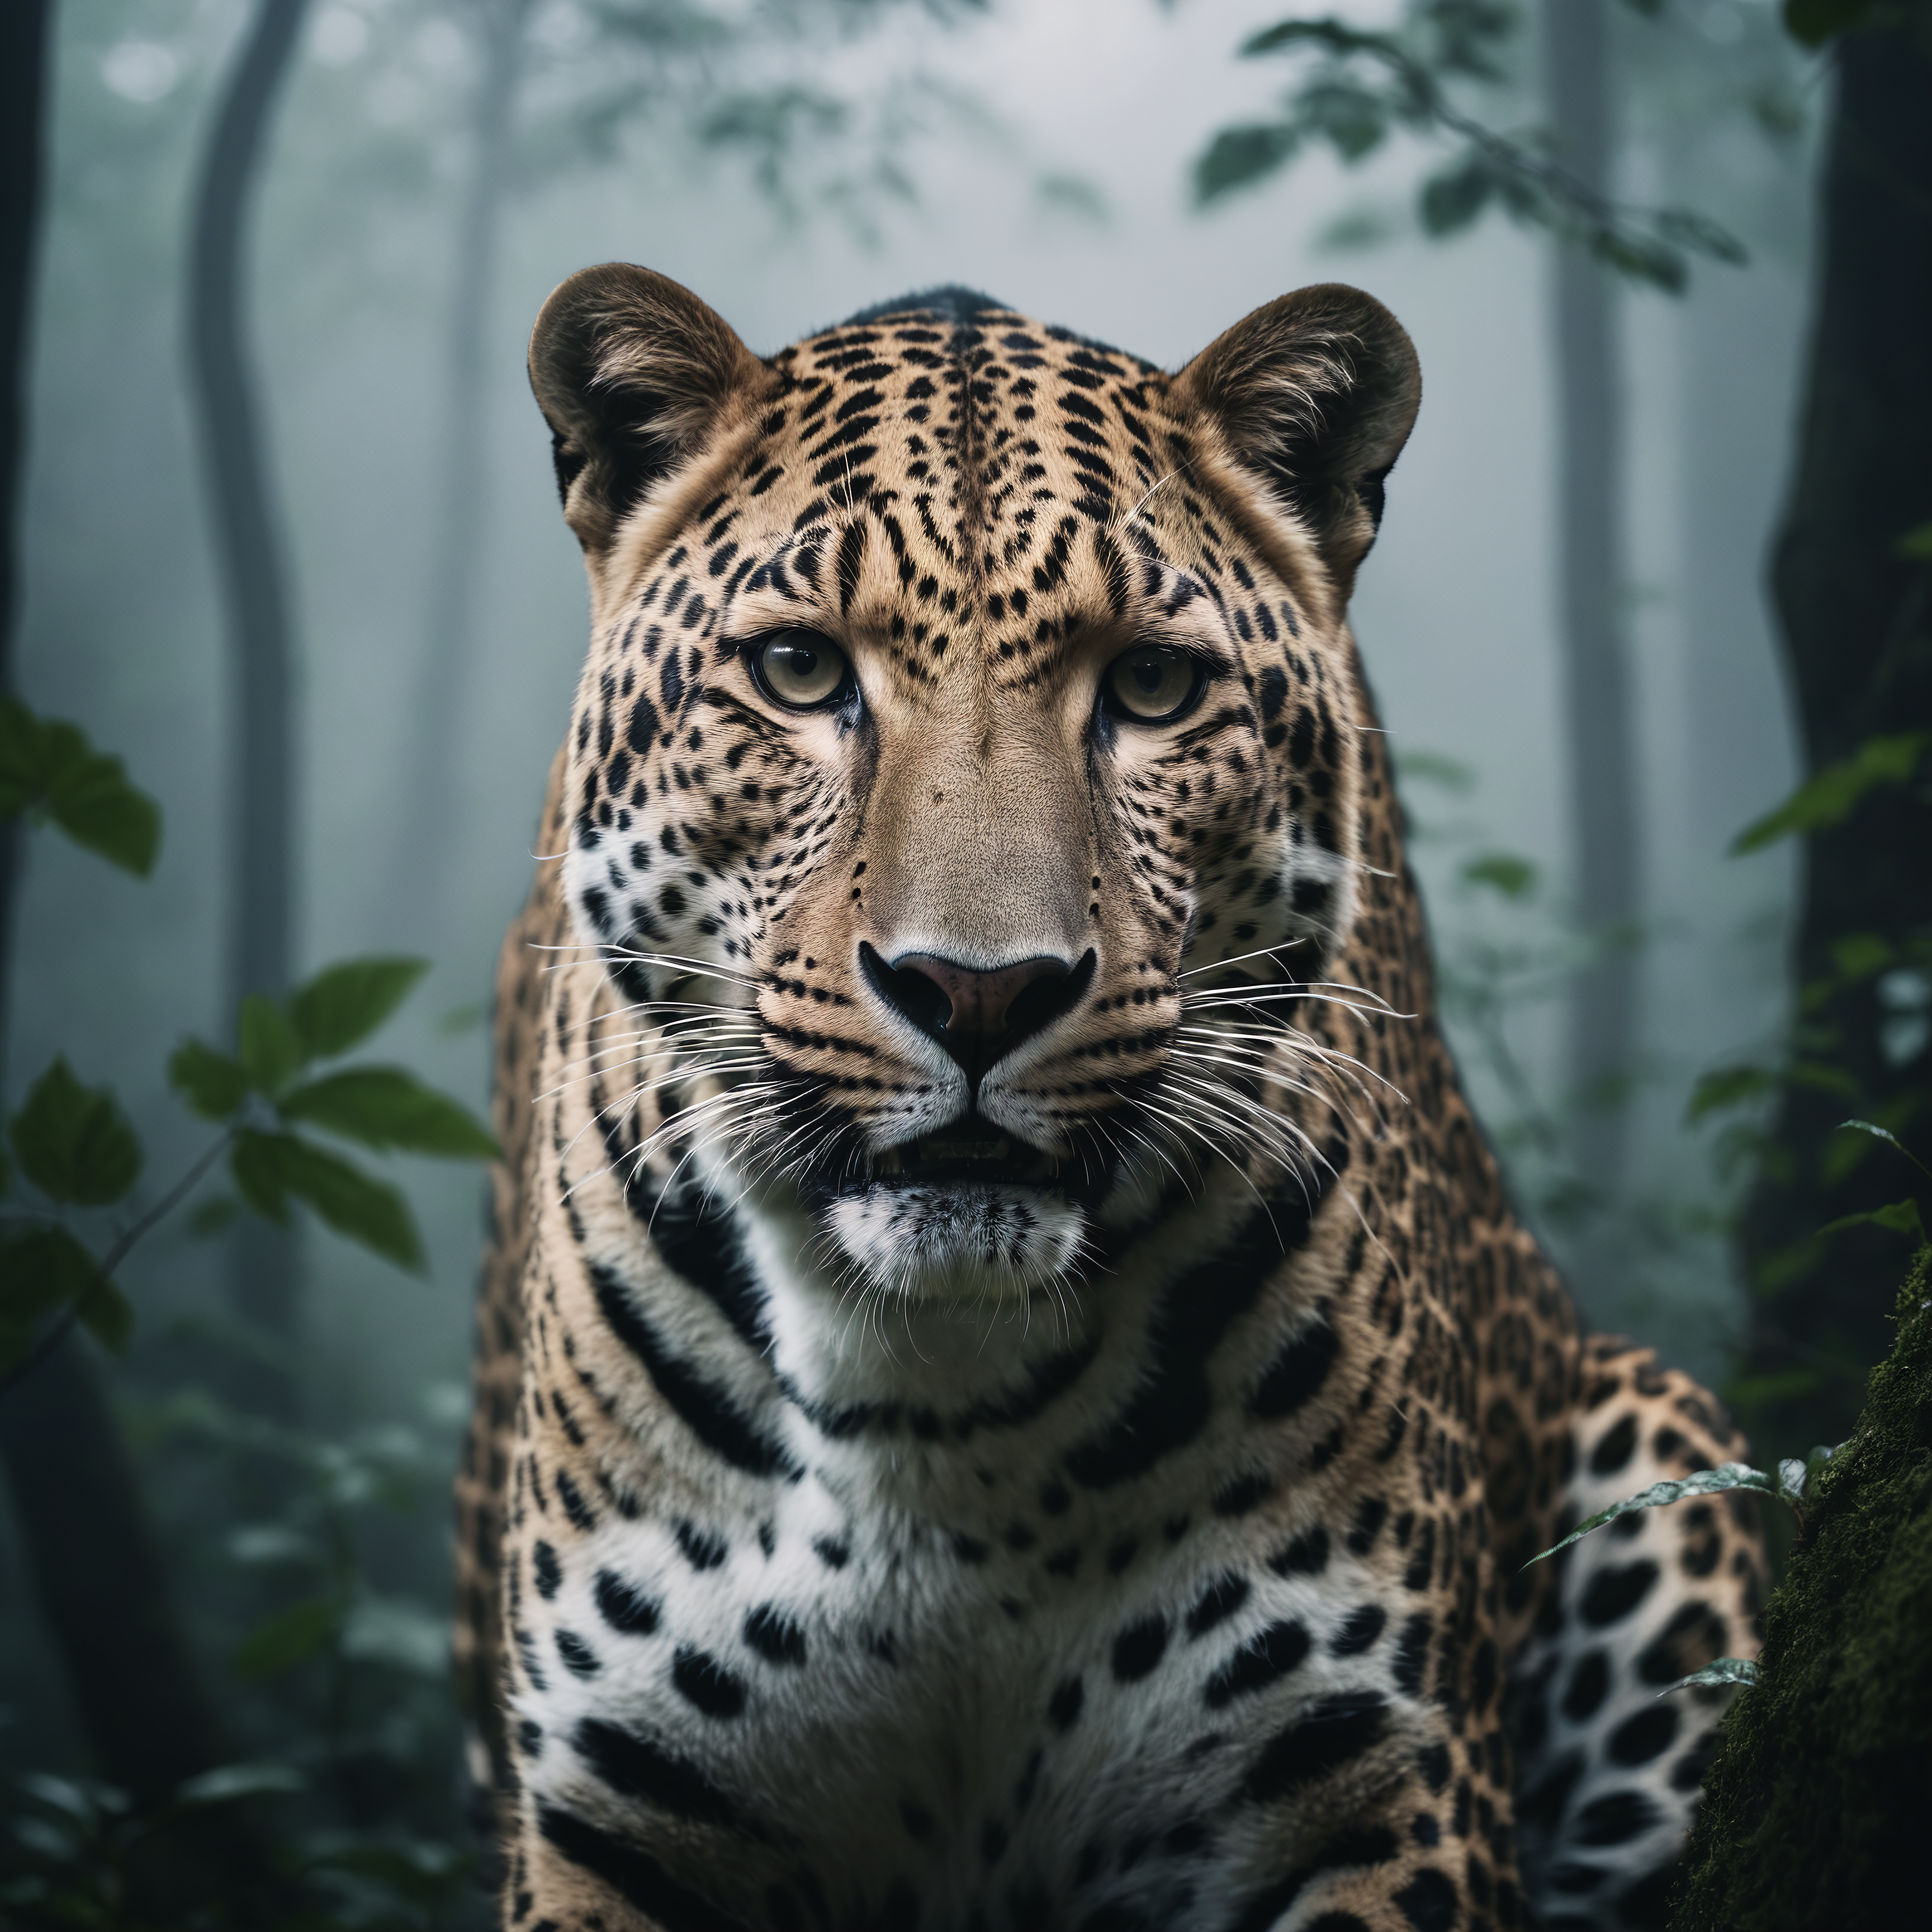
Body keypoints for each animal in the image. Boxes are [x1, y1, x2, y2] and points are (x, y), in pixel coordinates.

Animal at [452, 266, 1766, 1932]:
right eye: (800, 671)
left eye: (1150, 684)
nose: (977, 992)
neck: (939, 1417)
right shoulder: (606, 1810)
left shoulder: (1382, 1790)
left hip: (1667, 1457)